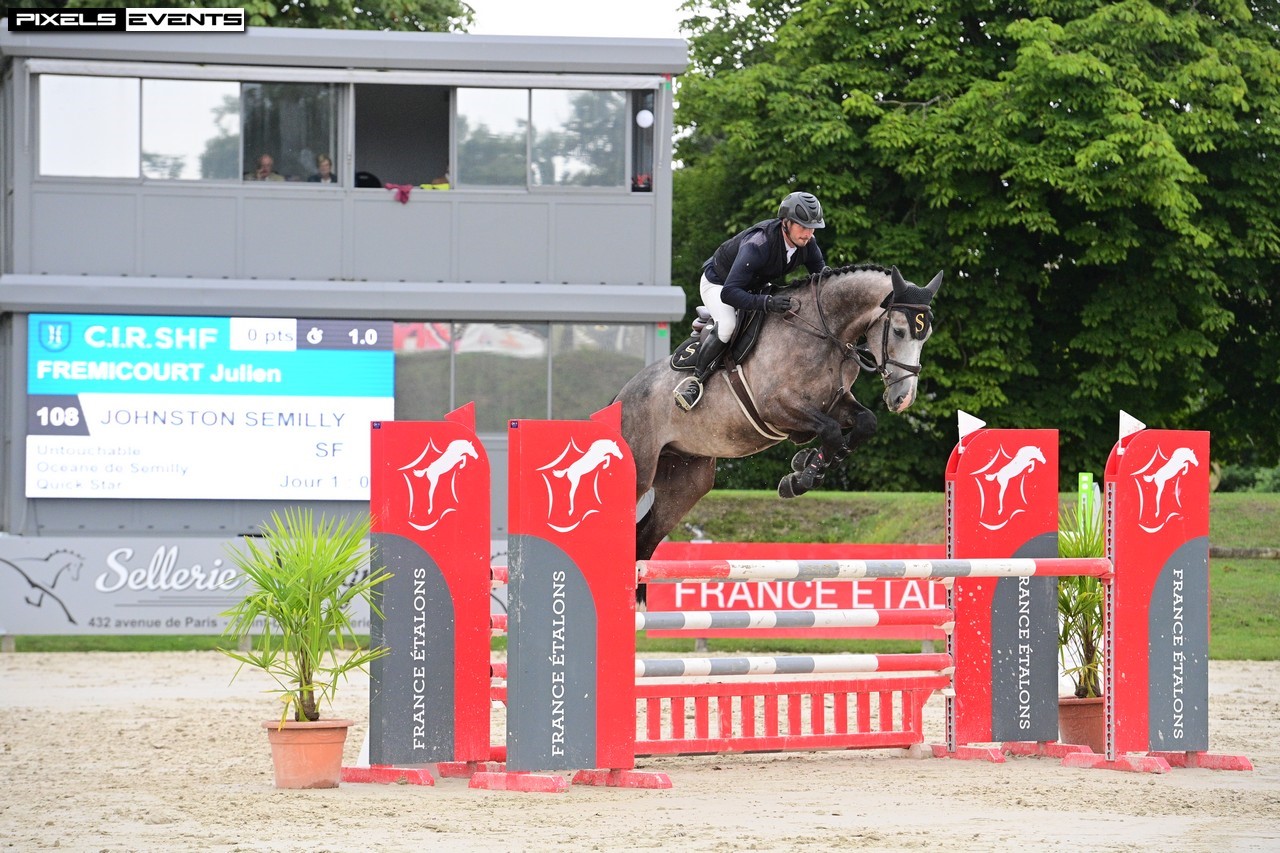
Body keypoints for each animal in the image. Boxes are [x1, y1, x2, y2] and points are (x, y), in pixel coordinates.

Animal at [615, 263, 943, 566]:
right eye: (899, 331)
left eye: (926, 336)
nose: (903, 399)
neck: (823, 332)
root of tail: (620, 397)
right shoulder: (777, 407)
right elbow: (831, 431)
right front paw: (804, 476)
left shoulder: (834, 403)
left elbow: (864, 424)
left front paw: (805, 467)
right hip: (641, 472)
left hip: (686, 482)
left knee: (644, 541)